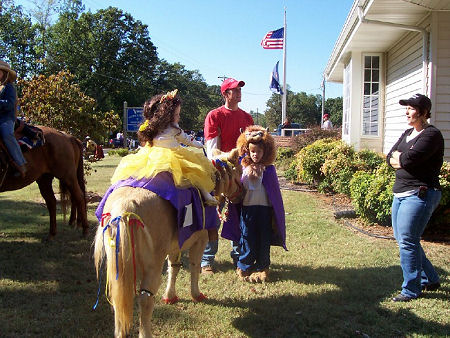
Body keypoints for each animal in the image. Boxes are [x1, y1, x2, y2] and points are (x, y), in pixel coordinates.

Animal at [92, 149, 244, 338]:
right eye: (239, 172)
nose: (243, 193)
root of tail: (125, 206)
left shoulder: (175, 246)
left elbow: (174, 268)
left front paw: (170, 296)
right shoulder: (200, 241)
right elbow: (194, 267)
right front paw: (196, 294)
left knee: (119, 299)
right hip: (153, 265)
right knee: (145, 298)